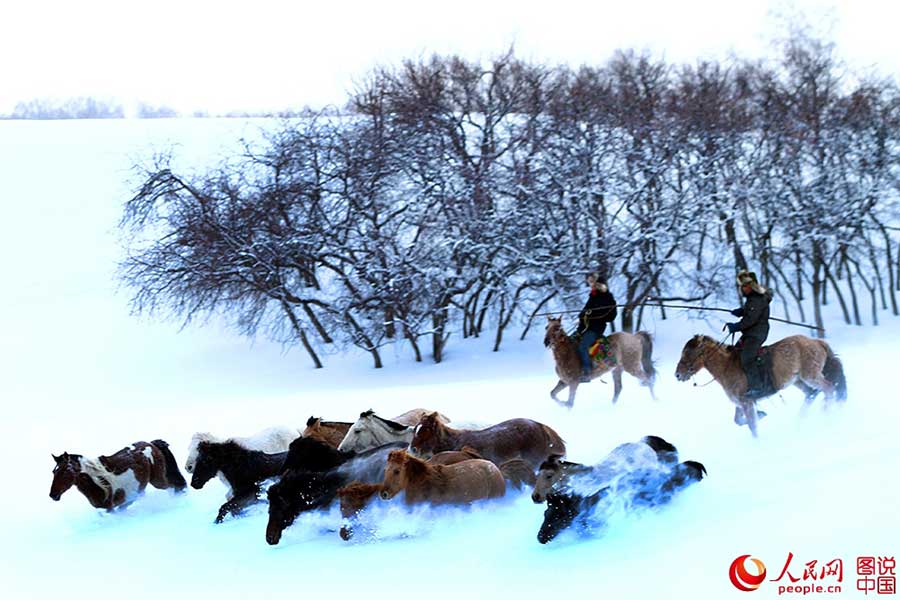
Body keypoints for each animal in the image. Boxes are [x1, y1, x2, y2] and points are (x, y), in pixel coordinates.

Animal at [50, 440, 187, 510]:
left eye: (65, 471)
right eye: (54, 472)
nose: (53, 495)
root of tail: (151, 444)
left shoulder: (112, 506)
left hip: (158, 481)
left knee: (175, 485)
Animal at [676, 332, 852, 436]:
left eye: (688, 353)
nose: (677, 374)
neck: (727, 366)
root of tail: (817, 341)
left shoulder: (746, 402)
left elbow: (752, 427)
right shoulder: (741, 403)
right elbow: (738, 420)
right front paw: (761, 414)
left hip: (810, 376)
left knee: (828, 388)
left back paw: (825, 414)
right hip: (798, 381)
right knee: (812, 394)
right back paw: (800, 421)